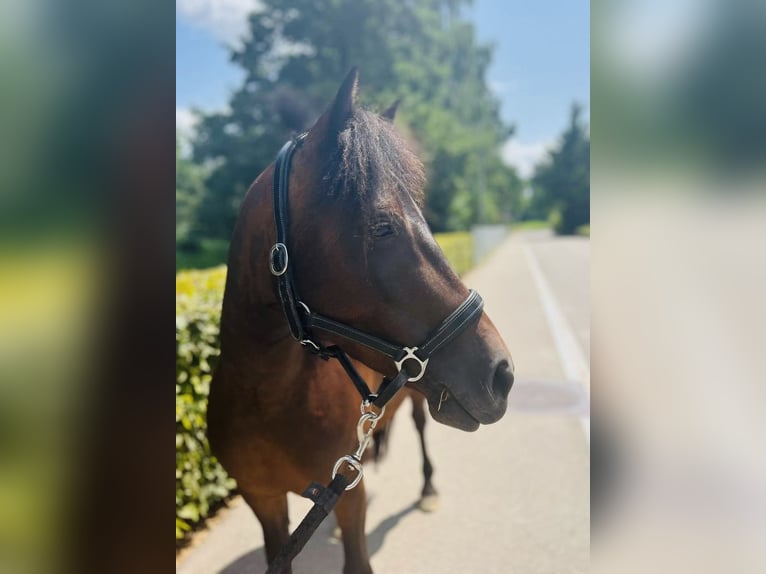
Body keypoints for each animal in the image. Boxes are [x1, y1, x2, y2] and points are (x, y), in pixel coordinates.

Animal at [207, 71, 512, 574]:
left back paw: (428, 488)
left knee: (419, 426)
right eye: (382, 226)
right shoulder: (265, 504)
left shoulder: (349, 501)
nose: (502, 374)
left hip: (415, 395)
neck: (264, 396)